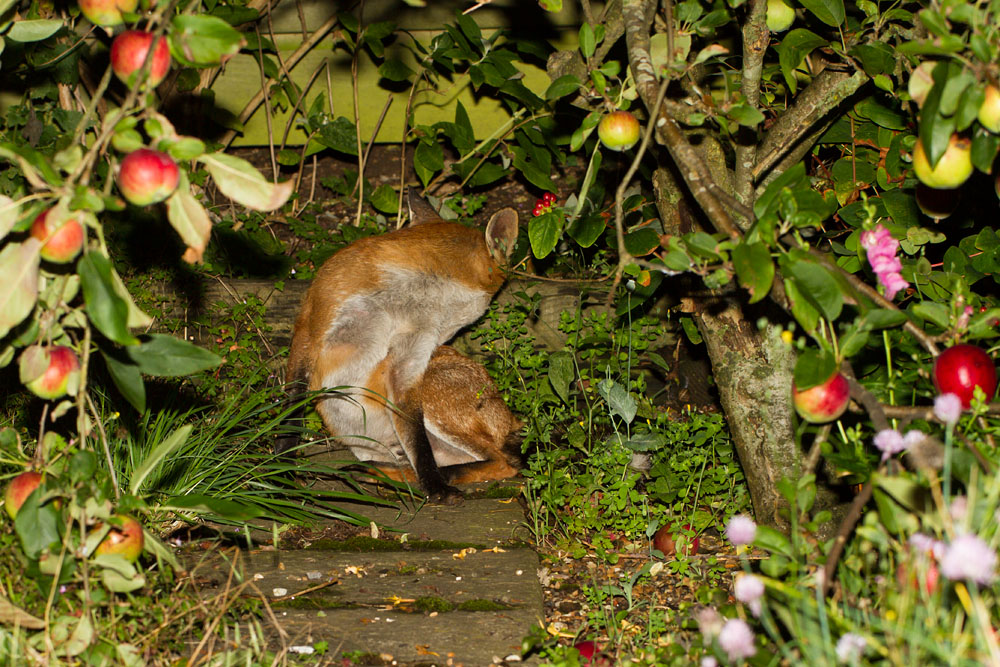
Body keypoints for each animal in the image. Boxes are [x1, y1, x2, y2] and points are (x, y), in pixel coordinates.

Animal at [277, 196, 520, 504]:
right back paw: (380, 472)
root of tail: (510, 417)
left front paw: (435, 486)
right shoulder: (312, 327)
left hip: (431, 392)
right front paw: (280, 468)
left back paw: (436, 476)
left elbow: (418, 443)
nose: (442, 346)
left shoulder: (410, 356)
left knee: (504, 463)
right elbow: (290, 413)